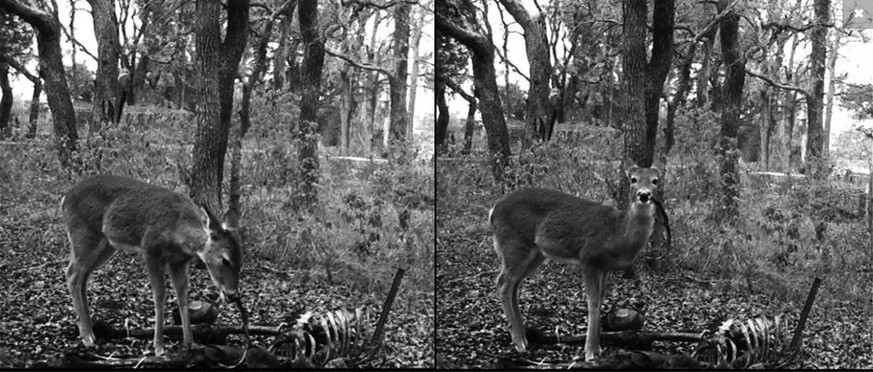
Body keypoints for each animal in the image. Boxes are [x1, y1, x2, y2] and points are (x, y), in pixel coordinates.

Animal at [62, 176, 242, 356]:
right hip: (84, 234)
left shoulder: (178, 262)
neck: (179, 230)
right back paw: (86, 337)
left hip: (106, 245)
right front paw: (159, 347)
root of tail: (65, 198)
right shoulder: (150, 249)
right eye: (225, 260)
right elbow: (159, 295)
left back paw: (91, 331)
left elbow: (183, 296)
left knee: (83, 276)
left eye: (241, 261)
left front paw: (191, 343)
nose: (232, 294)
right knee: (72, 274)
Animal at [488, 156, 664, 360]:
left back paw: (524, 337)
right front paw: (590, 351)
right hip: (514, 243)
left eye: (655, 180)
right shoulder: (588, 258)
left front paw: (598, 348)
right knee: (503, 282)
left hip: (535, 253)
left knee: (514, 285)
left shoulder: (605, 267)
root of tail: (493, 210)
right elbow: (593, 301)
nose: (644, 195)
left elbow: (601, 299)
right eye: (633, 179)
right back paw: (518, 342)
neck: (617, 232)